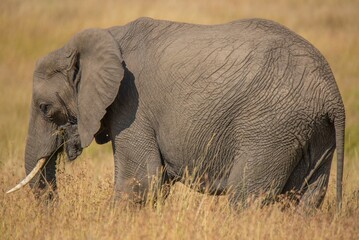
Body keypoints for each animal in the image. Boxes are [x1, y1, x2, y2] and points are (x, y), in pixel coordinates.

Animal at [7, 17, 346, 209]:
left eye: (45, 108)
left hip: (272, 128)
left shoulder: (132, 105)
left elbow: (139, 181)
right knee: (305, 199)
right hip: (314, 130)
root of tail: (332, 92)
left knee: (246, 196)